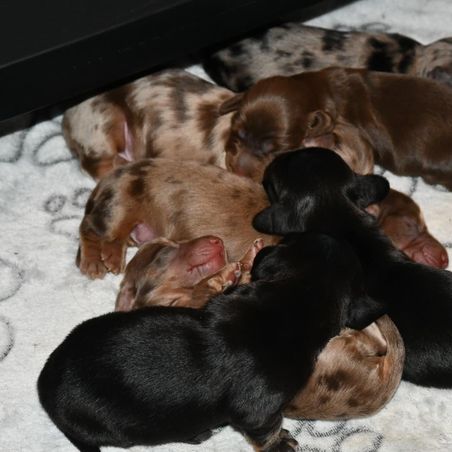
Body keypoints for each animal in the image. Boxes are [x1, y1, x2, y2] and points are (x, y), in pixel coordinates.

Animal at [63, 69, 447, 268]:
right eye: (413, 227)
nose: (444, 258)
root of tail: (67, 115)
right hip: (103, 126)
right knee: (100, 183)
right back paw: (102, 253)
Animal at [115, 234, 404, 421]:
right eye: (161, 253)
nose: (215, 239)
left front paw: (243, 261)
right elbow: (205, 289)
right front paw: (226, 273)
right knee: (372, 339)